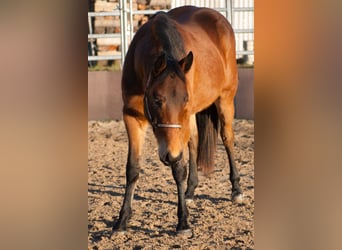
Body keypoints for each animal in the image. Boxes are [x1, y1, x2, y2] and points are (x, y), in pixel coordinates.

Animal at [113, 4, 242, 233]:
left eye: (185, 99)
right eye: (156, 99)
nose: (169, 154)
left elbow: (178, 168)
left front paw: (183, 221)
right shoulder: (132, 118)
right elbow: (132, 168)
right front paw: (123, 219)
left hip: (225, 100)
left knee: (227, 138)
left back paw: (236, 189)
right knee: (194, 143)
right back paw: (190, 191)